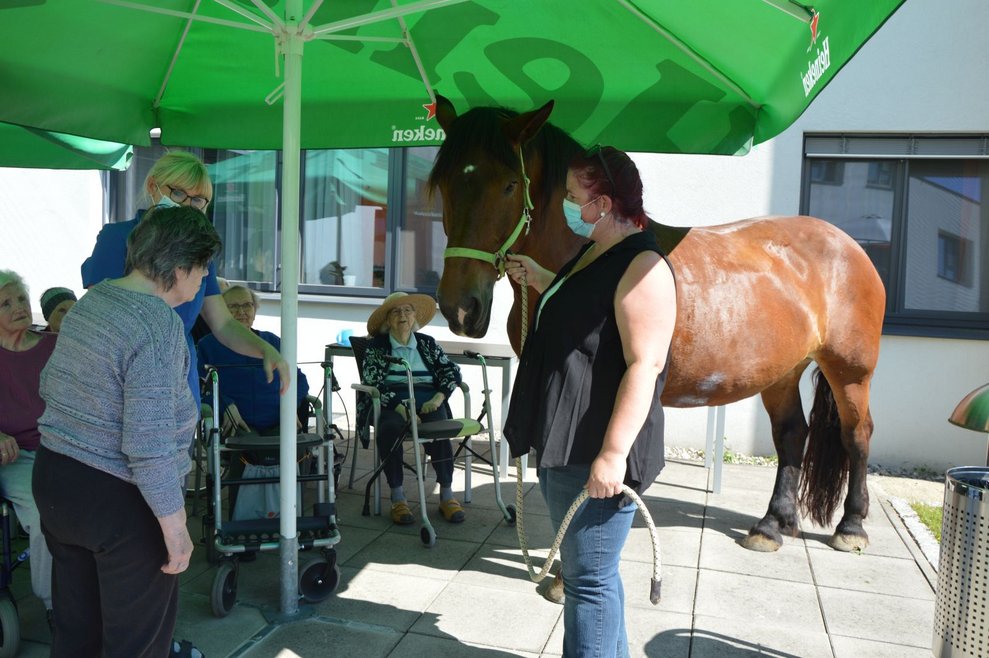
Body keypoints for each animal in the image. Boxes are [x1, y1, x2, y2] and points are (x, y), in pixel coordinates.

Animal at [429, 95, 886, 554]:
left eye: (509, 185)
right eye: (444, 184)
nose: (460, 308)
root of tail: (848, 245)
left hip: (850, 372)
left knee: (857, 434)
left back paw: (852, 526)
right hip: (782, 371)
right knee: (792, 434)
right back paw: (774, 523)